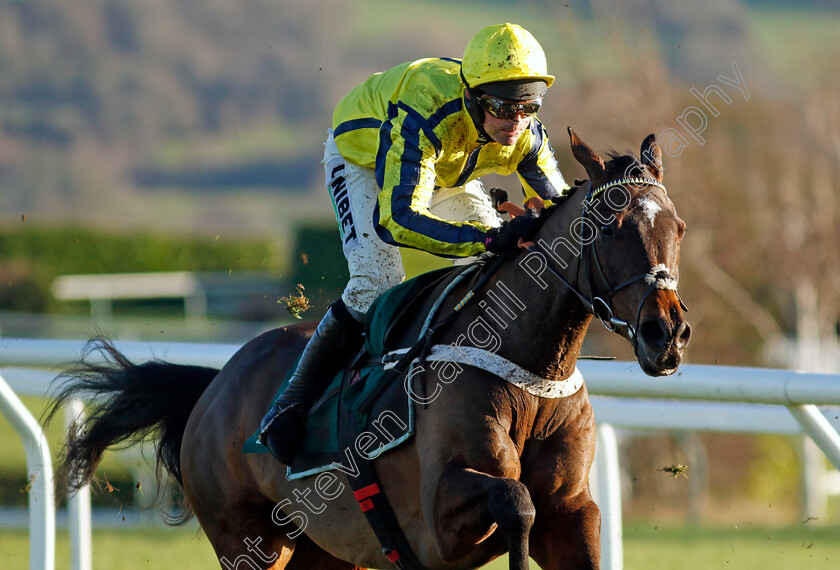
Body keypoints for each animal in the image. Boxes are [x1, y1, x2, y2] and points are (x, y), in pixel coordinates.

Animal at [46, 129, 688, 568]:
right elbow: (517, 500)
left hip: (326, 553)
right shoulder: (441, 517)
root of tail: (215, 384)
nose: (668, 334)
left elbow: (555, 512)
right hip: (247, 539)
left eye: (677, 228)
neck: (528, 370)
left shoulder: (575, 511)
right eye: (610, 227)